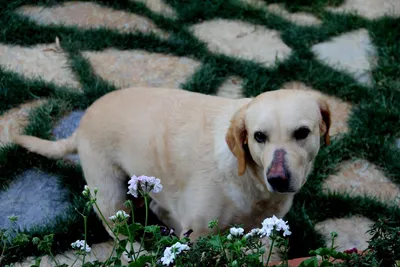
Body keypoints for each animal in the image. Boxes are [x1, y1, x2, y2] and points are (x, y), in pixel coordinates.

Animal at [13, 88, 332, 258]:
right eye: (259, 136)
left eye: (302, 133)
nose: (277, 179)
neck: (251, 182)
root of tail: (80, 125)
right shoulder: (200, 235)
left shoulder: (268, 227)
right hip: (110, 196)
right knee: (120, 234)